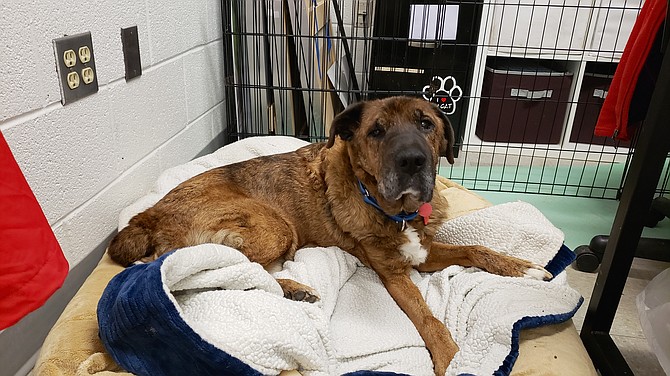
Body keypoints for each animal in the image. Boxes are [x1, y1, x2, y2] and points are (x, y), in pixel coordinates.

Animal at [109, 97, 552, 376]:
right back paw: (295, 289)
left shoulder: (423, 252)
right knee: (223, 266)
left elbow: (476, 249)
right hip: (275, 227)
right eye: (376, 131)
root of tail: (145, 215)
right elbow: (428, 318)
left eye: (426, 123)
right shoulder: (394, 274)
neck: (396, 212)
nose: (412, 161)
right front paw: (452, 358)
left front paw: (524, 268)